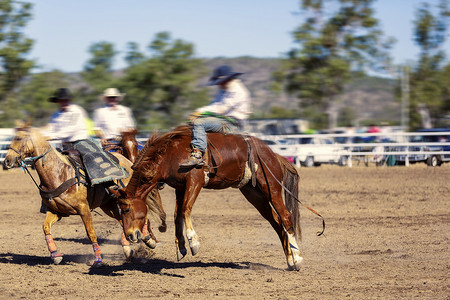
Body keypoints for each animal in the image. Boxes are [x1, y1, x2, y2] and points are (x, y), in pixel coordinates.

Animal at [114, 125, 306, 270]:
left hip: (271, 187)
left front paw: (193, 242)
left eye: (126, 209)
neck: (171, 154)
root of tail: (274, 155)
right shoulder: (180, 187)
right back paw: (290, 260)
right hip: (254, 194)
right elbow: (177, 215)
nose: (130, 235)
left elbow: (185, 209)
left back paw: (297, 259)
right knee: (276, 222)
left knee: (286, 217)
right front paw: (181, 246)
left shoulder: (195, 181)